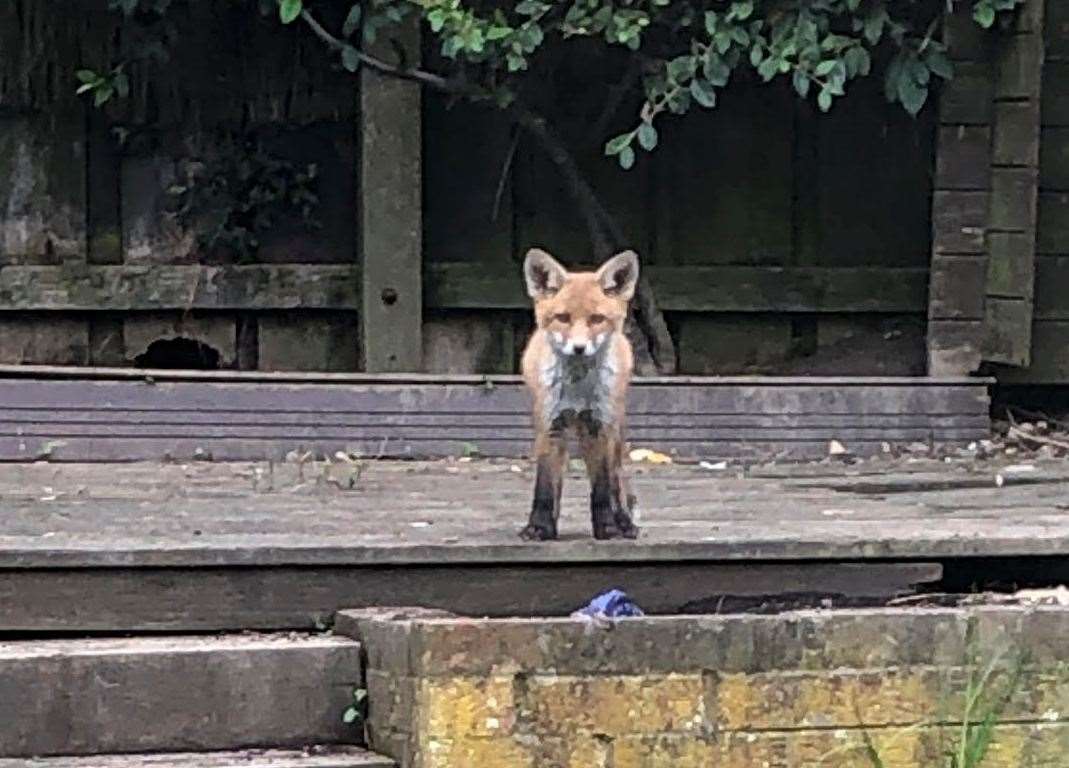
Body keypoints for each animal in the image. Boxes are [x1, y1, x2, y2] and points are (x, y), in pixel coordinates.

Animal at [519, 247, 637, 541]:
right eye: (563, 318)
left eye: (597, 319)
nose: (579, 348)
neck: (577, 388)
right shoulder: (550, 426)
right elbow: (545, 488)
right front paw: (540, 526)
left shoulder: (598, 427)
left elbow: (602, 489)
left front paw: (607, 527)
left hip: (615, 427)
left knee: (617, 478)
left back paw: (624, 522)